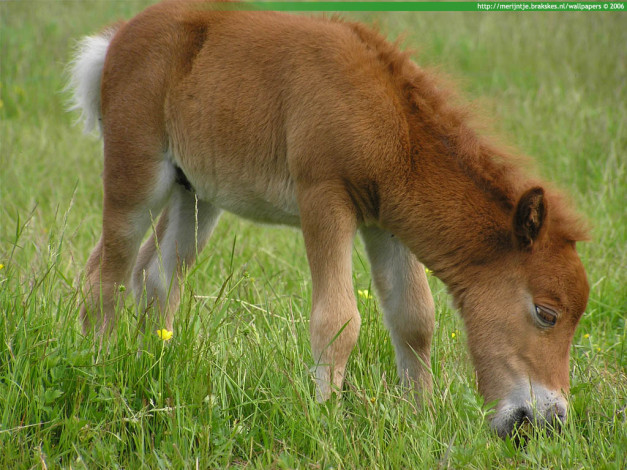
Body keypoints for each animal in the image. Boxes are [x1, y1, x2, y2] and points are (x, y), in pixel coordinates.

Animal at [68, 0, 588, 440]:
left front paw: (421, 417)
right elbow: (337, 320)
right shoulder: (324, 199)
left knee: (157, 275)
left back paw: (154, 368)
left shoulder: (385, 222)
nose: (548, 422)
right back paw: (96, 367)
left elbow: (414, 317)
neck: (391, 124)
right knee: (105, 273)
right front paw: (324, 418)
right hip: (137, 174)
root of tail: (117, 38)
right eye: (546, 313)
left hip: (195, 194)